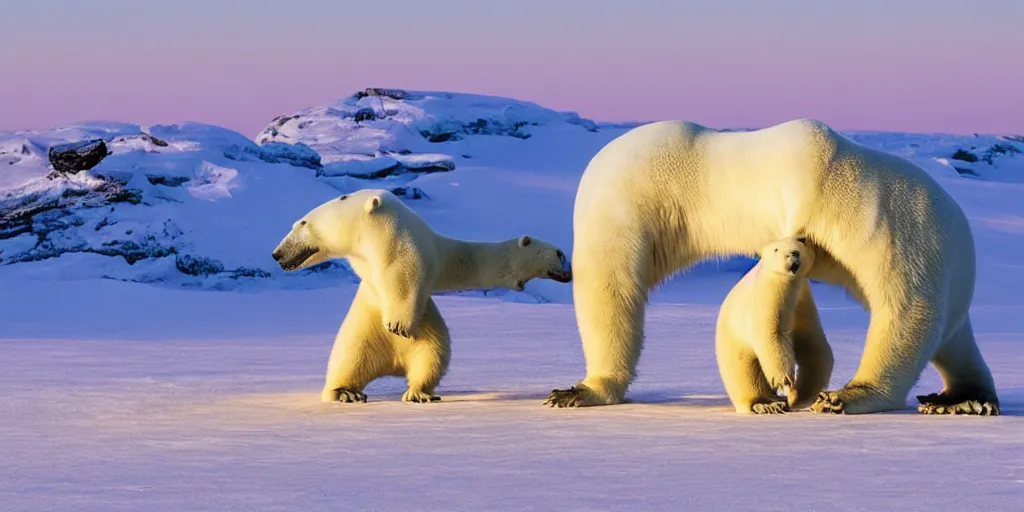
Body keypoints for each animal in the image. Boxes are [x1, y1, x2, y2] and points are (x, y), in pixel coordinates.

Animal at [270, 188, 577, 403]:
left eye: (300, 224)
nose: (277, 254)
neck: (366, 226)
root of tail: (393, 363)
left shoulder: (405, 238)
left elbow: (410, 272)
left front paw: (398, 325)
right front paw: (396, 326)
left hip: (427, 325)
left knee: (431, 354)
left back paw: (418, 392)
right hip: (365, 327)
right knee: (349, 355)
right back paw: (346, 392)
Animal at [716, 237, 835, 413]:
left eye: (799, 245)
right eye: (777, 249)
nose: (792, 255)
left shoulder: (802, 303)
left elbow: (812, 347)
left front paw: (801, 395)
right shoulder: (768, 298)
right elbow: (772, 336)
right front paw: (786, 381)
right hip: (733, 341)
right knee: (745, 373)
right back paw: (766, 404)